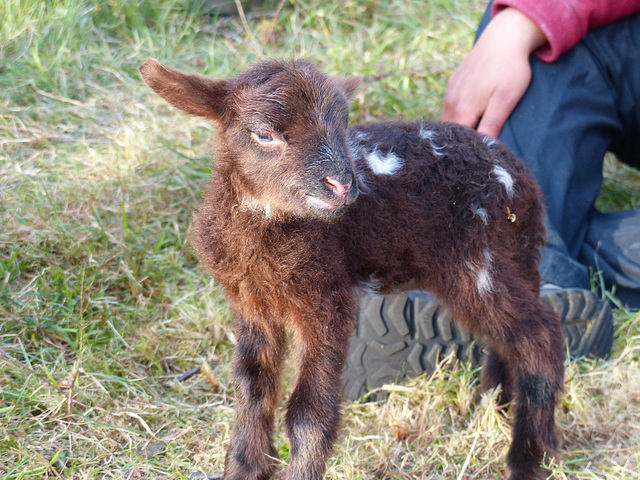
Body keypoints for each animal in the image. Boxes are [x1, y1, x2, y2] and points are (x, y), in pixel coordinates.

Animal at [141, 57, 564, 480]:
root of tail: (525, 185)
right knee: (510, 337)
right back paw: (493, 404)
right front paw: (244, 469)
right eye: (264, 134)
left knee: (539, 335)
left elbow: (308, 412)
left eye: (342, 125)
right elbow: (251, 386)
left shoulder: (326, 298)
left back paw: (526, 459)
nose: (343, 185)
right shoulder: (252, 302)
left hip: (478, 262)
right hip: (498, 262)